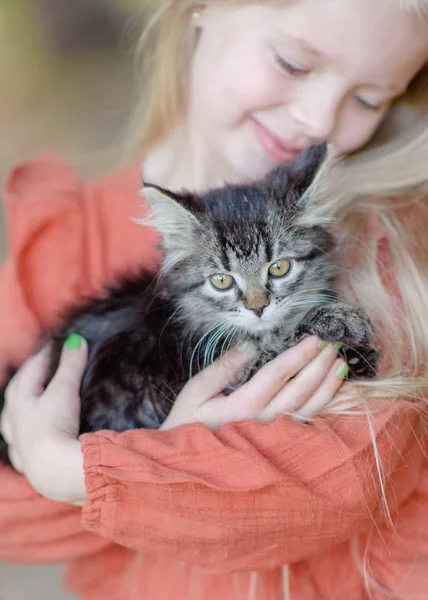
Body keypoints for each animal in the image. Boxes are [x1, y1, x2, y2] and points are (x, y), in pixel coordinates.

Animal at [0, 144, 380, 464]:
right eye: (222, 281)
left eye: (279, 268)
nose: (258, 308)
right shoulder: (221, 371)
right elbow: (279, 342)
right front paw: (334, 319)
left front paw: (358, 354)